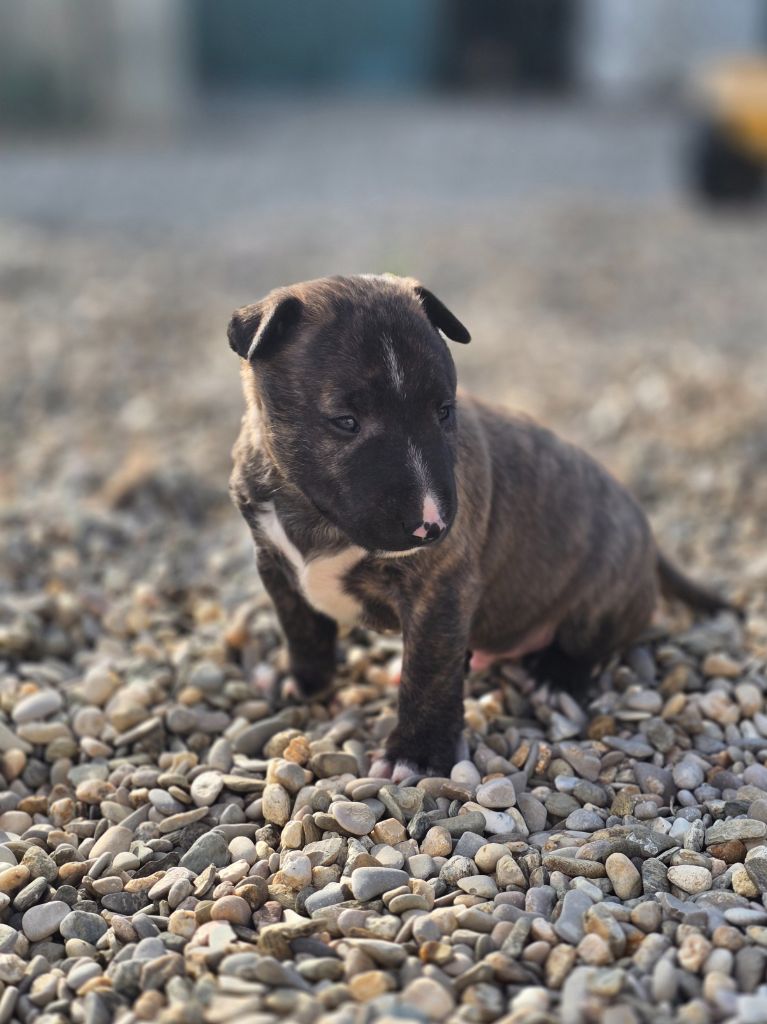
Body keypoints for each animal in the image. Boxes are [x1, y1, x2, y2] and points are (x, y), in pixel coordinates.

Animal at [228, 273, 730, 781]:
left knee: (593, 640)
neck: (313, 515)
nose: (430, 526)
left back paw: (555, 674)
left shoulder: (439, 588)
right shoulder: (273, 564)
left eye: (444, 410)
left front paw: (415, 753)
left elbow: (429, 672)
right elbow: (301, 629)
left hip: (607, 587)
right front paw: (305, 682)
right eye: (345, 421)